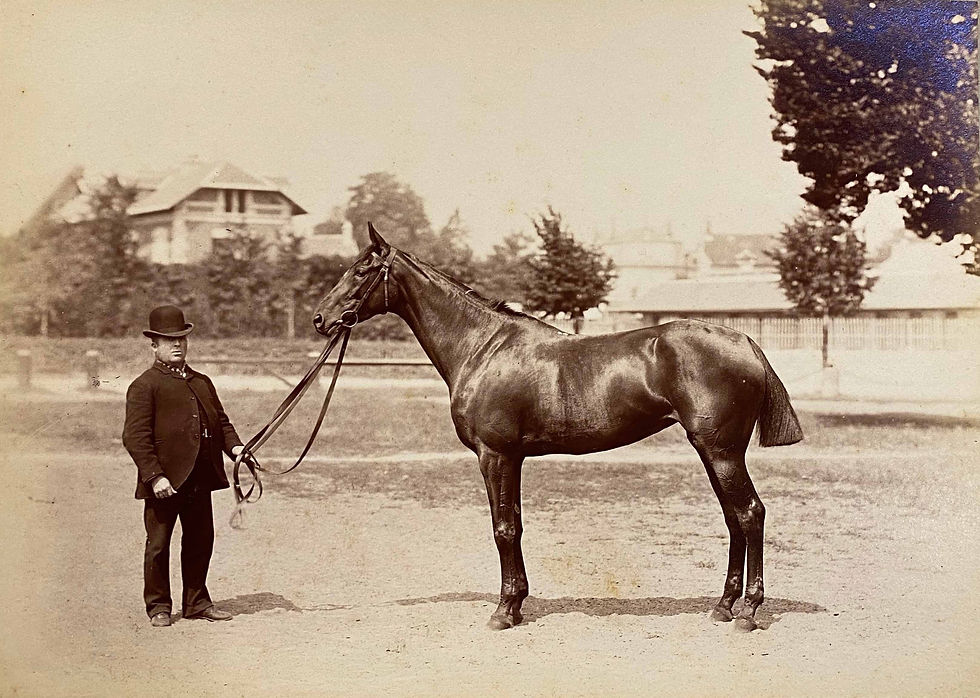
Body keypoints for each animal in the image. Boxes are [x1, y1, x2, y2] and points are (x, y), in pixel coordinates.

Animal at [312, 223, 803, 632]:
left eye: (361, 271)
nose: (321, 319)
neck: (482, 347)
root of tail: (744, 340)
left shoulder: (495, 455)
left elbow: (503, 529)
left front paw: (503, 611)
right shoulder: (512, 459)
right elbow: (515, 524)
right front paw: (516, 604)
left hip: (721, 452)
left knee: (750, 513)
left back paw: (747, 612)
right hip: (712, 451)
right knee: (734, 518)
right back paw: (722, 606)